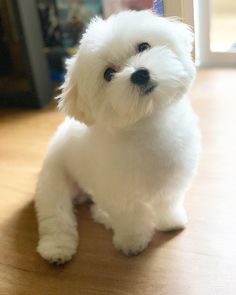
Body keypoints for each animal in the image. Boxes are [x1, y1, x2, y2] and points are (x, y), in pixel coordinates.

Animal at [35, 9, 201, 266]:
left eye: (144, 46)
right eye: (108, 74)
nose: (140, 74)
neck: (147, 124)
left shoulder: (172, 178)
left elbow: (167, 201)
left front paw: (170, 221)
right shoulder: (119, 193)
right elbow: (129, 218)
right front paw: (133, 242)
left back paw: (102, 216)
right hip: (53, 184)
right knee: (56, 217)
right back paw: (57, 249)